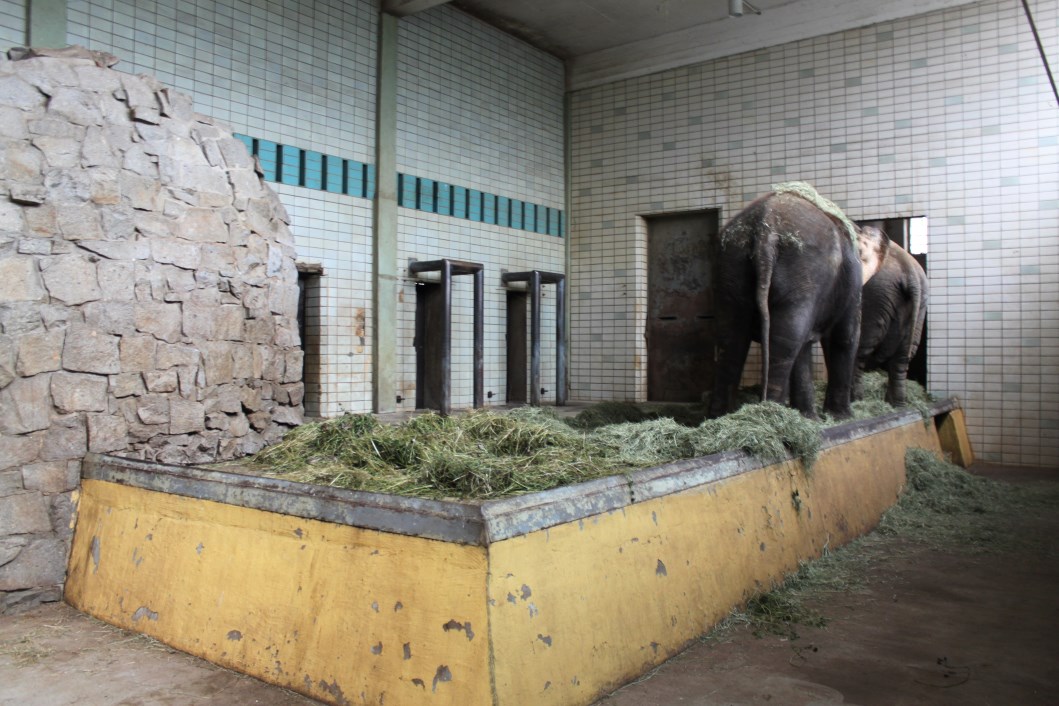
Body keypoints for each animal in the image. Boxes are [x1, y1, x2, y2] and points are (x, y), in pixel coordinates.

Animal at [707, 186, 888, 419]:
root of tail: (765, 229)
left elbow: (806, 345)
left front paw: (810, 417)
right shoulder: (852, 279)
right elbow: (845, 336)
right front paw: (840, 417)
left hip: (731, 265)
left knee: (731, 337)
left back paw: (719, 418)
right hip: (802, 269)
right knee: (786, 337)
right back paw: (770, 415)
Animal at [854, 227, 928, 407]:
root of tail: (911, 273)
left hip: (876, 298)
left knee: (860, 350)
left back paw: (856, 400)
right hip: (919, 305)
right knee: (902, 357)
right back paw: (897, 404)